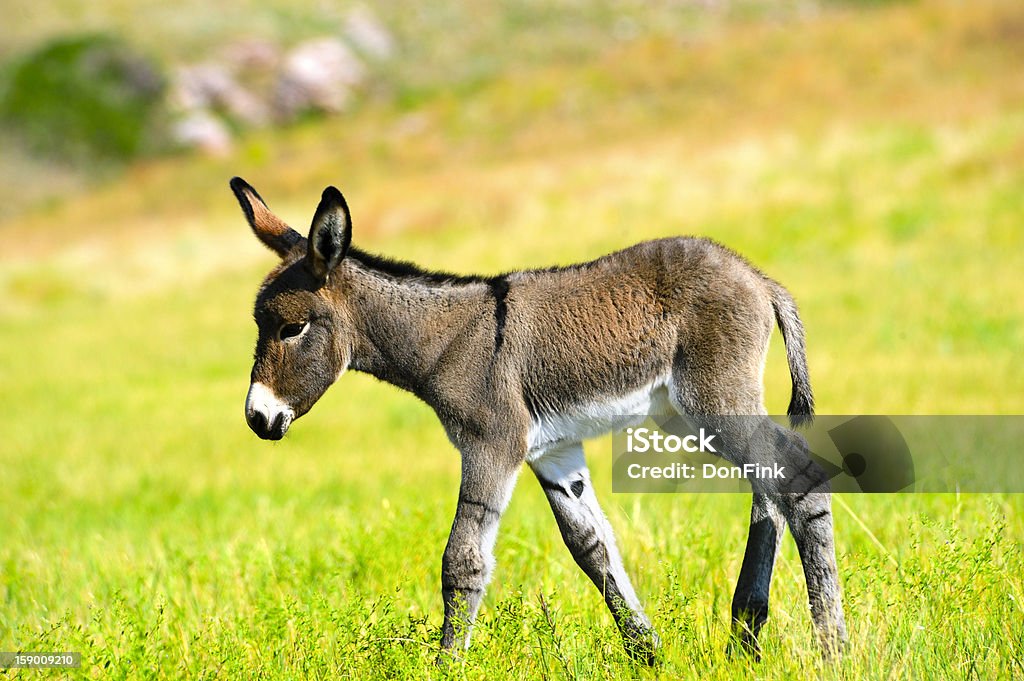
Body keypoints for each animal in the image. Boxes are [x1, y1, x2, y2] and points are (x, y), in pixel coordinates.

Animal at [232, 176, 847, 663]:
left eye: (291, 329)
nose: (258, 418)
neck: (450, 343)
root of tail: (758, 278)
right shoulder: (552, 452)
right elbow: (592, 549)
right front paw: (647, 653)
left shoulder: (491, 445)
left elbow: (463, 560)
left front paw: (447, 665)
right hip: (693, 414)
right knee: (769, 488)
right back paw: (745, 637)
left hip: (715, 400)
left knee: (799, 479)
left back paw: (833, 648)